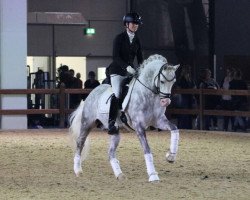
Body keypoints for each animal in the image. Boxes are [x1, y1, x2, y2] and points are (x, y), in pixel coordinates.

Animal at [69, 54, 180, 183]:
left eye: (174, 82)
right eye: (162, 81)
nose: (165, 102)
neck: (148, 95)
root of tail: (92, 93)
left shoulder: (159, 121)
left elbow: (175, 129)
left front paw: (171, 156)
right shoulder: (139, 126)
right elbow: (147, 149)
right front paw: (153, 175)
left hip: (115, 132)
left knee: (111, 153)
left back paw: (119, 174)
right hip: (87, 123)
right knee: (80, 143)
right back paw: (78, 170)